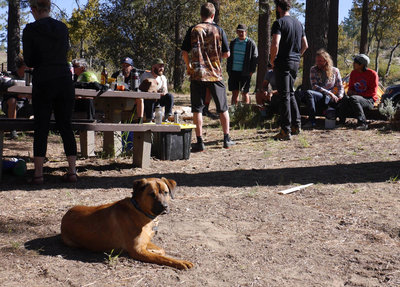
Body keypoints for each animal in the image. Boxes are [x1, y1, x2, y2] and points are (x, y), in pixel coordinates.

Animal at [61, 178, 194, 270]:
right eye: (152, 194)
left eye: (166, 192)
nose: (164, 207)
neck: (140, 211)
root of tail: (65, 216)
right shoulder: (137, 250)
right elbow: (163, 257)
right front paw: (180, 262)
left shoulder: (144, 242)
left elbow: (161, 250)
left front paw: (153, 250)